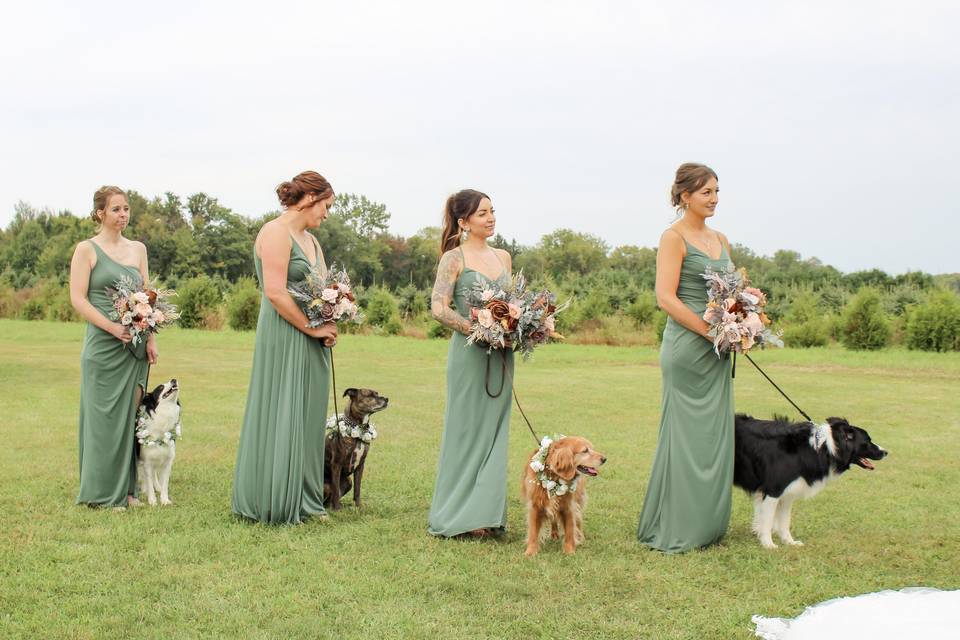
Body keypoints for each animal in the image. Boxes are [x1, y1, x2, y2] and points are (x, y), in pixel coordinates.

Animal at [736, 418, 884, 548]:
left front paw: (789, 542)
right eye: (868, 441)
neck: (822, 448)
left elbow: (784, 521)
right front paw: (768, 544)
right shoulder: (773, 490)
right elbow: (767, 520)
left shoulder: (787, 494)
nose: (886, 452)